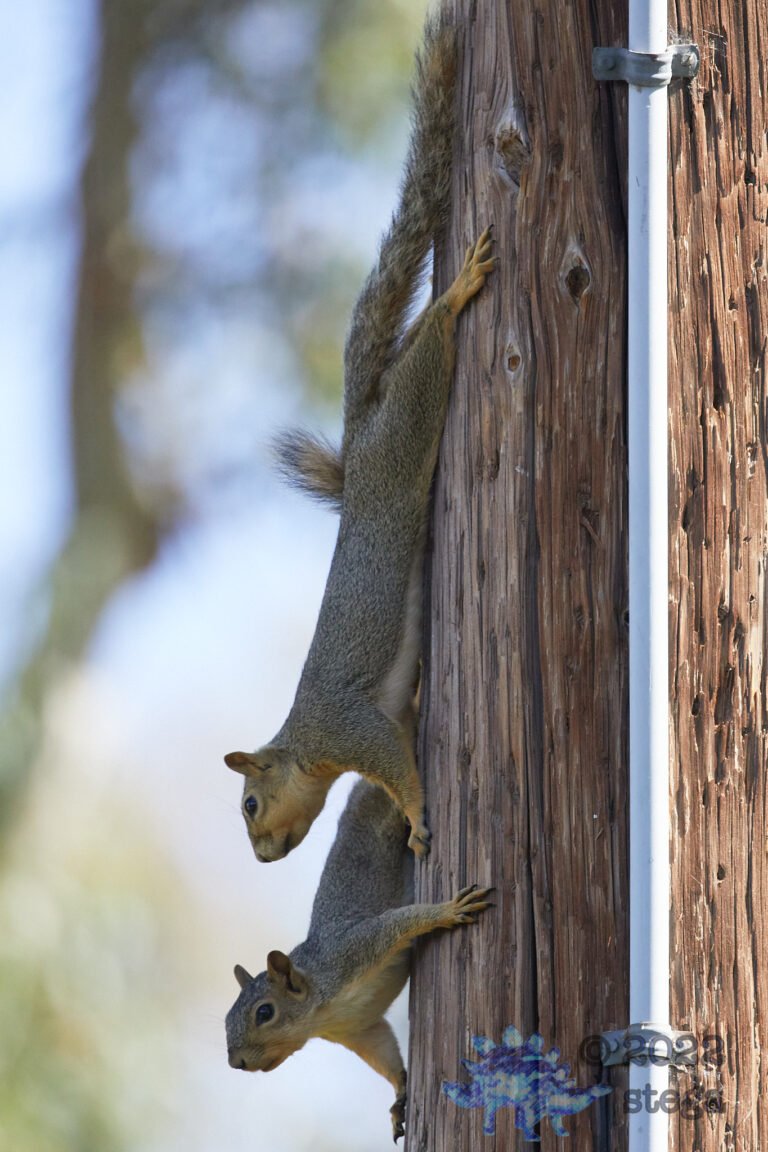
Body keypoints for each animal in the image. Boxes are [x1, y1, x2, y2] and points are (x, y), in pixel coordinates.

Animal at [224, 12, 496, 861]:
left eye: (250, 804)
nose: (263, 856)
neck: (305, 744)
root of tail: (363, 423)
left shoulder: (350, 728)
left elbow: (397, 768)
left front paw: (417, 815)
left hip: (405, 434)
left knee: (430, 355)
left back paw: (456, 293)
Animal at [225, 779, 494, 1141]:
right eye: (227, 1020)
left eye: (264, 1013)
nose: (236, 1063)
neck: (322, 1009)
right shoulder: (358, 1029)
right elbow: (383, 1052)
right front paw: (399, 1096)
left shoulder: (354, 950)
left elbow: (400, 922)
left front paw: (448, 910)